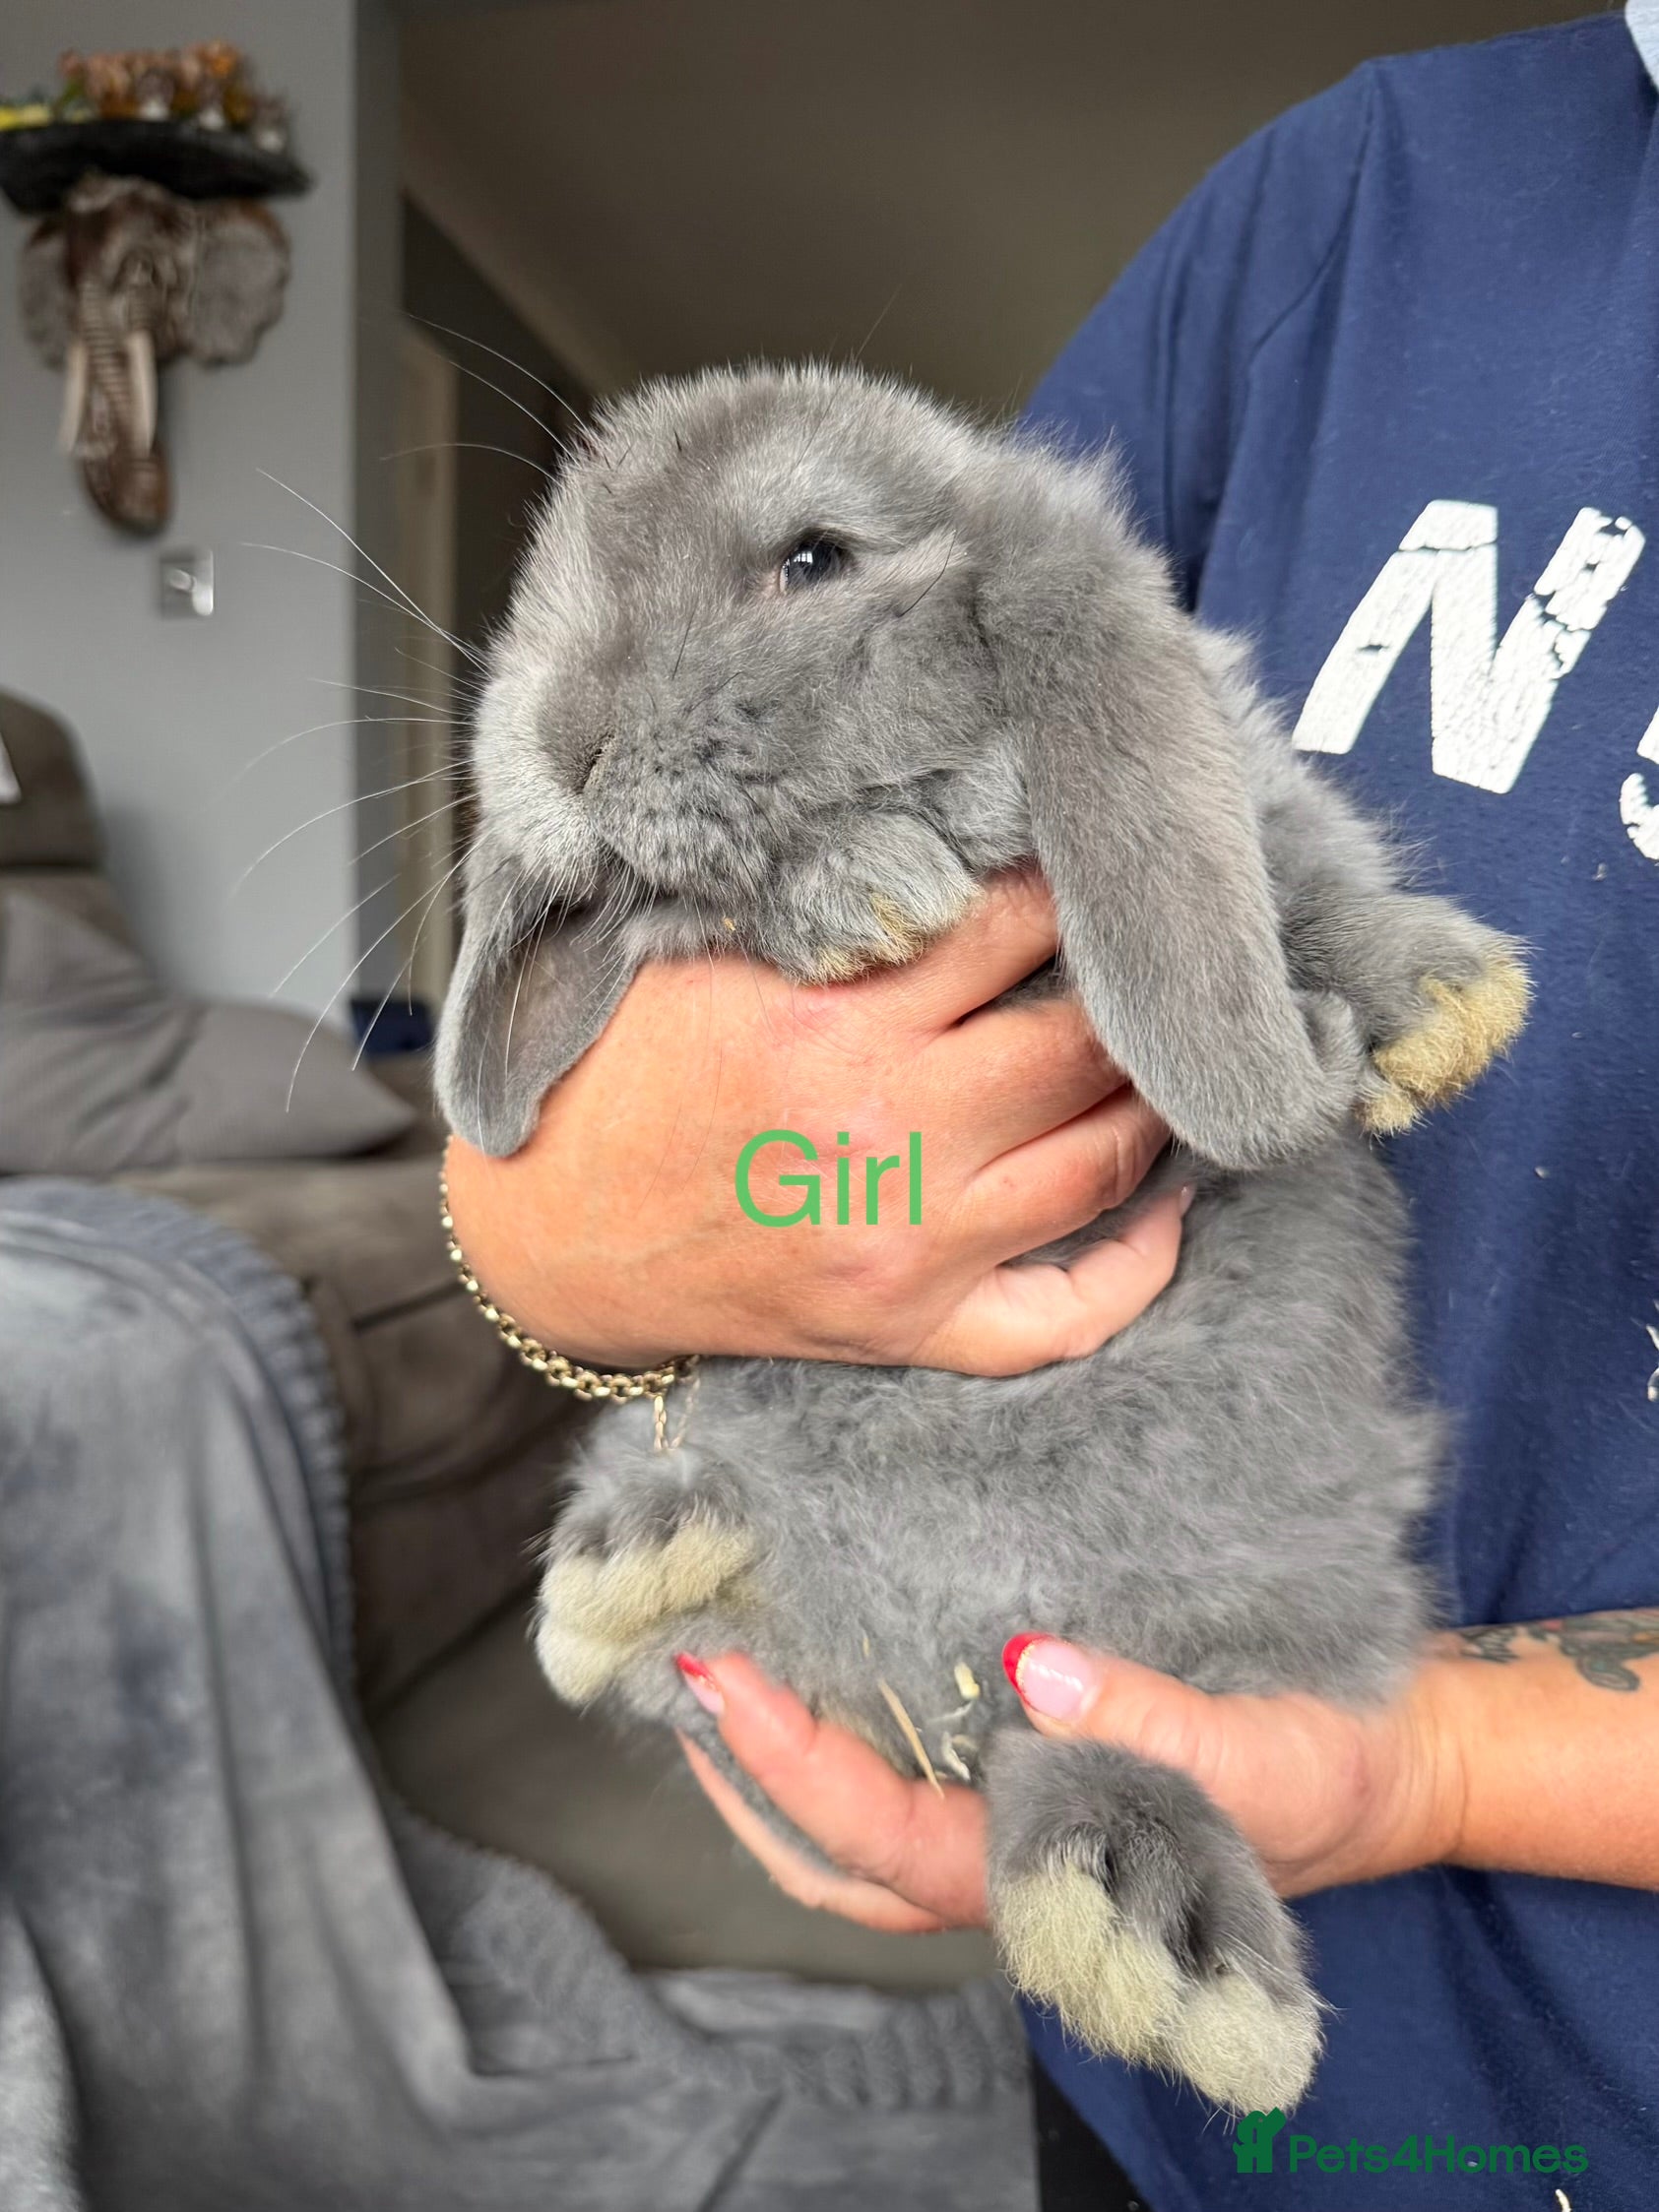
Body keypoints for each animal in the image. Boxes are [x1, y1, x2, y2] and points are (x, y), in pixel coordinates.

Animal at [434, 363, 1529, 2113]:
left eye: (813, 557)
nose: (560, 741)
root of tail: (935, 1662)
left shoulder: (1242, 788)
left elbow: (1294, 866)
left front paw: (1436, 1008)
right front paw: (860, 890)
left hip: (1201, 1630)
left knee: (1086, 1742)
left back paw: (1154, 1946)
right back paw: (632, 1559)